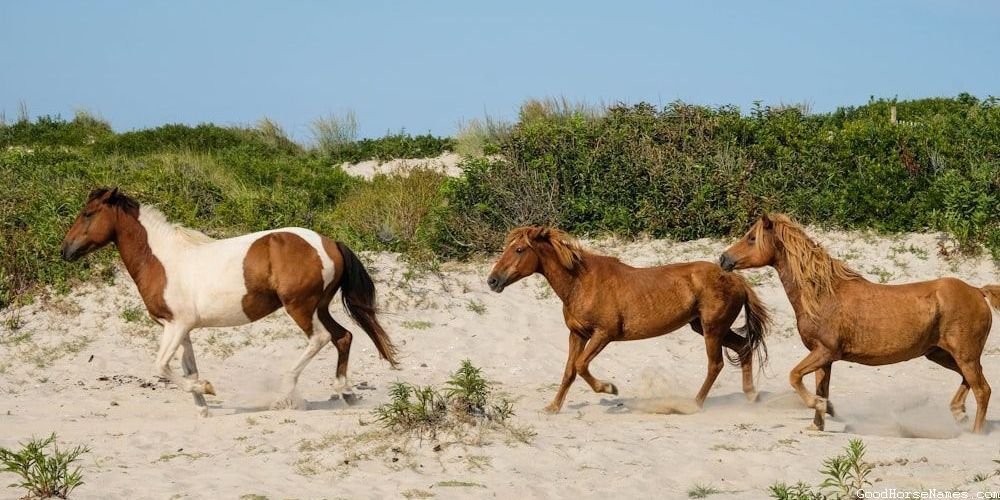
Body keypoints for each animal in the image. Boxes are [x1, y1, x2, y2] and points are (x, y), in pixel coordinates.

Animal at [60, 188, 398, 414]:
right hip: (319, 306)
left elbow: (162, 367)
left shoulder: (175, 326)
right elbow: (188, 369)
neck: (162, 260)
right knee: (344, 336)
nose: (65, 250)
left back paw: (286, 393)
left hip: (299, 307)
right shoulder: (183, 329)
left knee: (321, 338)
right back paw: (346, 392)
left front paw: (206, 390)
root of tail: (329, 243)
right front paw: (202, 407)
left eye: (88, 214)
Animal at [488, 228, 768, 414]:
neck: (581, 283)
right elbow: (569, 371)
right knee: (743, 348)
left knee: (715, 364)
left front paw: (610, 388)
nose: (492, 281)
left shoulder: (604, 334)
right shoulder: (577, 334)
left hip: (712, 329)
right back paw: (751, 396)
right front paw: (553, 407)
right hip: (705, 327)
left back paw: (694, 404)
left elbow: (580, 366)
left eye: (519, 250)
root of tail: (737, 279)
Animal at [724, 213, 996, 432]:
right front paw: (818, 422)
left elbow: (794, 376)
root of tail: (977, 291)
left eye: (751, 238)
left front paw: (822, 407)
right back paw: (958, 413)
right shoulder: (824, 358)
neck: (823, 295)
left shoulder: (826, 351)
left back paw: (975, 433)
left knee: (983, 390)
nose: (724, 259)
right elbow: (820, 388)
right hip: (940, 354)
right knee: (969, 381)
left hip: (965, 355)